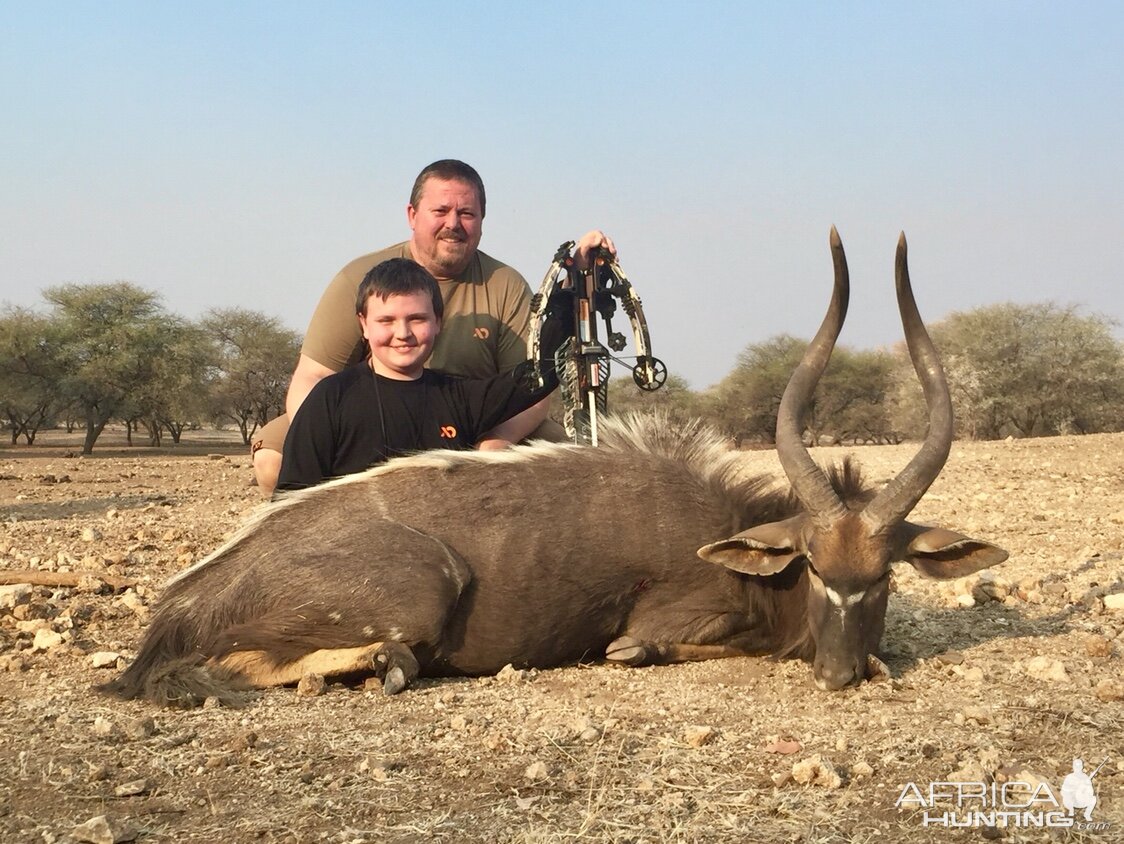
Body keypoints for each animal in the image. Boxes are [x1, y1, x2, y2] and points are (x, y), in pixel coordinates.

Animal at [101, 229, 1007, 705]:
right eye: (816, 567)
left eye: (882, 576)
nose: (841, 672)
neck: (728, 532)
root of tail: (187, 600)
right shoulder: (669, 622)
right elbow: (649, 647)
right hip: (420, 591)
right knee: (268, 665)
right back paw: (376, 668)